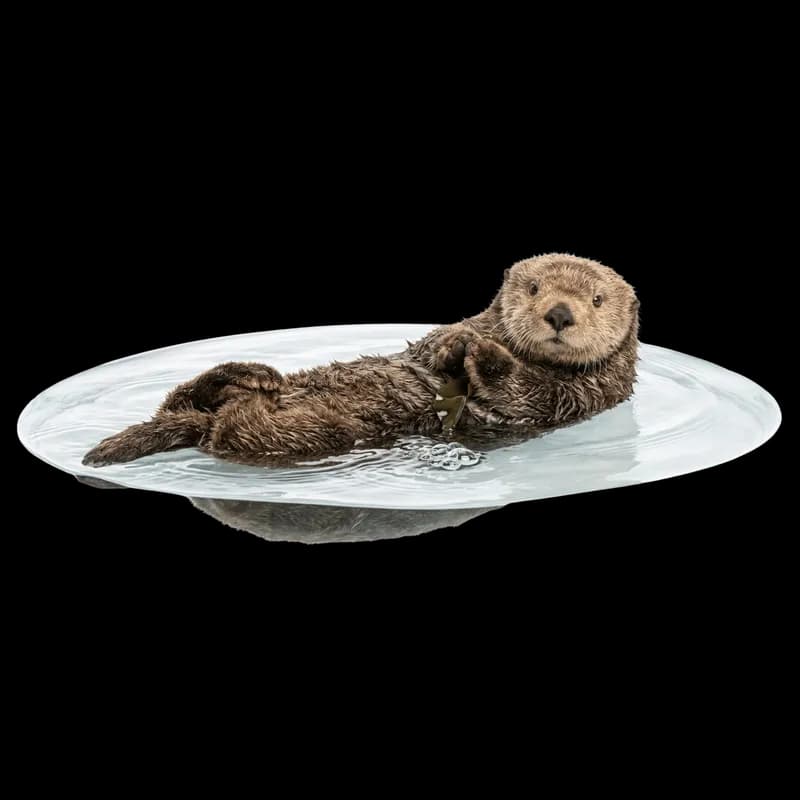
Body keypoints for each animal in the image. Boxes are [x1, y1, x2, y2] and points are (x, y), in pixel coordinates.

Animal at [83, 253, 639, 467]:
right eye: (534, 288)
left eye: (596, 301)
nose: (560, 314)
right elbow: (434, 343)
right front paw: (454, 342)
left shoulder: (582, 394)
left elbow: (525, 395)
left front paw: (482, 353)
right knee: (182, 401)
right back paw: (246, 374)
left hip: (313, 432)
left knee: (231, 432)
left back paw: (245, 394)